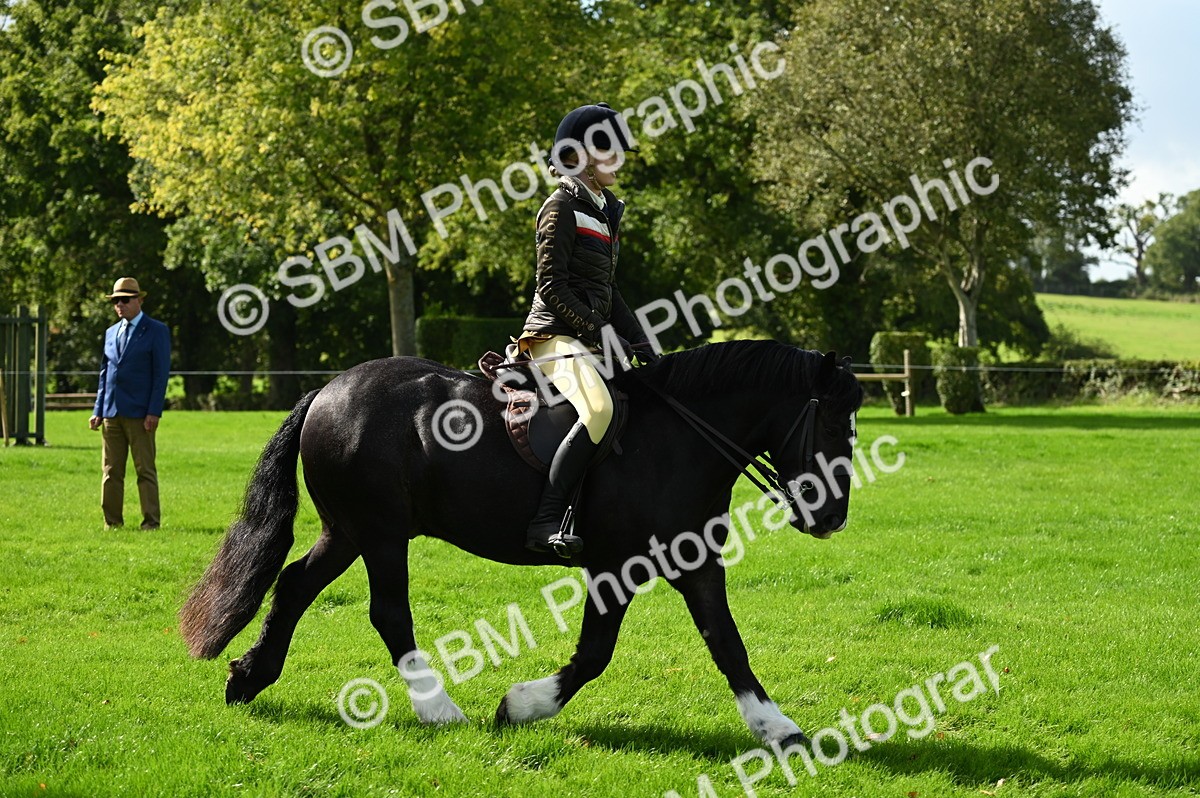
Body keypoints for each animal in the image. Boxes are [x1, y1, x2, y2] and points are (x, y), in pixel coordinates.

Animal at [179, 339, 863, 747]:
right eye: (833, 423)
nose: (832, 517)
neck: (676, 438)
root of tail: (328, 389)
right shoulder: (614, 566)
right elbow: (595, 654)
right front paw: (521, 706)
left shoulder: (694, 561)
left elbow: (726, 642)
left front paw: (776, 727)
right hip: (381, 533)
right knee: (389, 613)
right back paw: (438, 709)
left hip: (347, 530)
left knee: (294, 585)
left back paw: (248, 678)